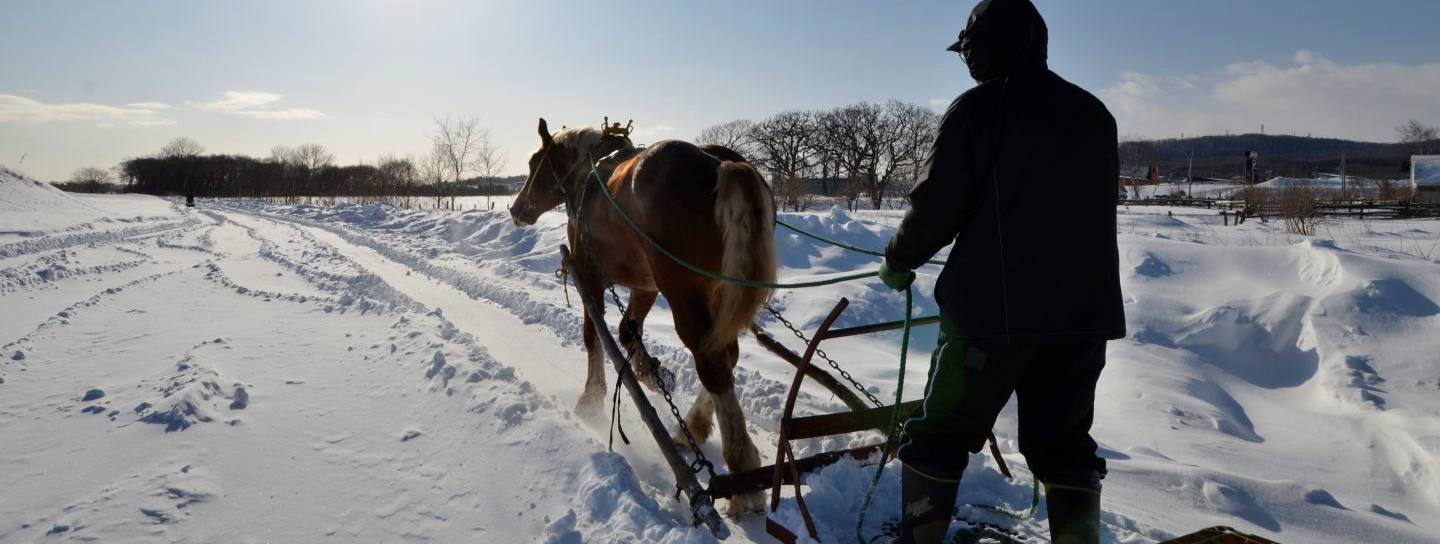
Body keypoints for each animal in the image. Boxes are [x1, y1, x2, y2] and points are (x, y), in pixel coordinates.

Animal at [506, 116, 777, 512]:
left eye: (533, 162)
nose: (516, 209)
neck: (588, 173)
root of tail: (722, 166)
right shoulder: (646, 286)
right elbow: (626, 330)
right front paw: (651, 373)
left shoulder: (590, 277)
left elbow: (594, 336)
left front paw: (591, 400)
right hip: (718, 292)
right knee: (727, 354)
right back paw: (692, 427)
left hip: (683, 293)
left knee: (712, 362)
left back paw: (744, 480)